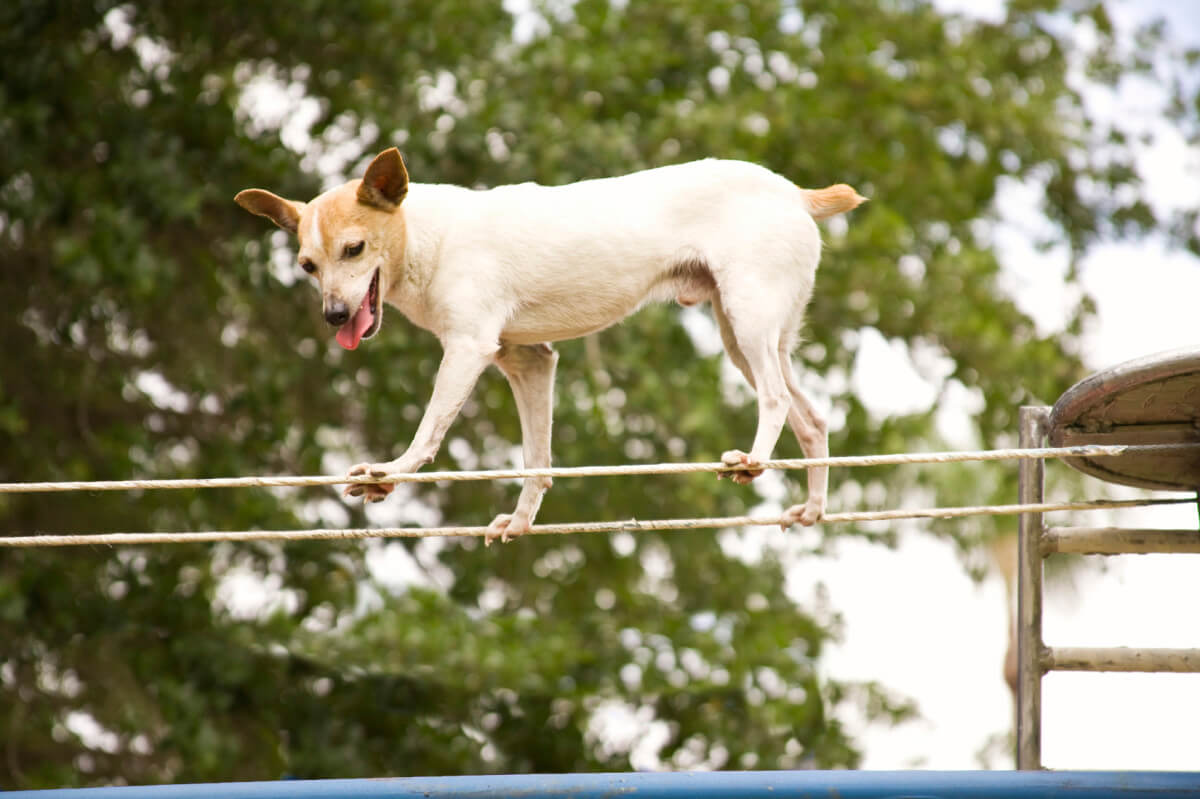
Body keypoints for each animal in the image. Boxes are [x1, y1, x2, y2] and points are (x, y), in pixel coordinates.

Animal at [236, 149, 864, 542]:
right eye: (307, 265)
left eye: (355, 249)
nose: (334, 316)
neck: (427, 237)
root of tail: (795, 194)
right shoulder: (528, 360)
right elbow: (537, 460)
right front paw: (521, 522)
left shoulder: (468, 349)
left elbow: (427, 433)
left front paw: (391, 472)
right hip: (749, 335)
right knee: (813, 421)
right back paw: (813, 508)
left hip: (748, 317)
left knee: (776, 400)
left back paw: (752, 461)